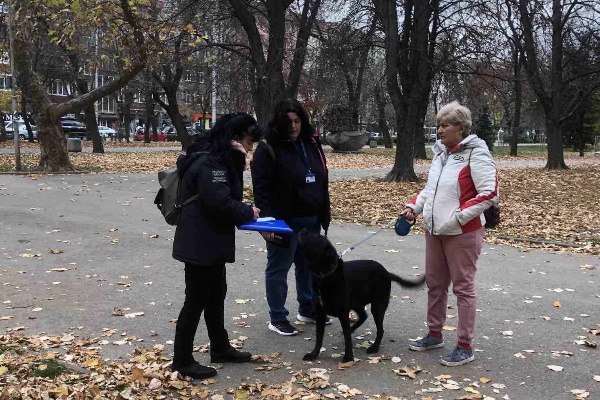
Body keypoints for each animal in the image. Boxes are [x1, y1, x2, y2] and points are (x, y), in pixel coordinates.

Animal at [298, 231, 425, 362]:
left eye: (317, 236)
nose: (303, 230)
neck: (325, 276)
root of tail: (387, 273)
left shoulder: (343, 312)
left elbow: (347, 339)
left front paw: (348, 357)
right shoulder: (320, 312)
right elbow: (319, 336)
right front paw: (314, 354)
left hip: (377, 306)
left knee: (380, 329)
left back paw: (374, 347)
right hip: (357, 303)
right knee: (364, 316)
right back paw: (354, 330)